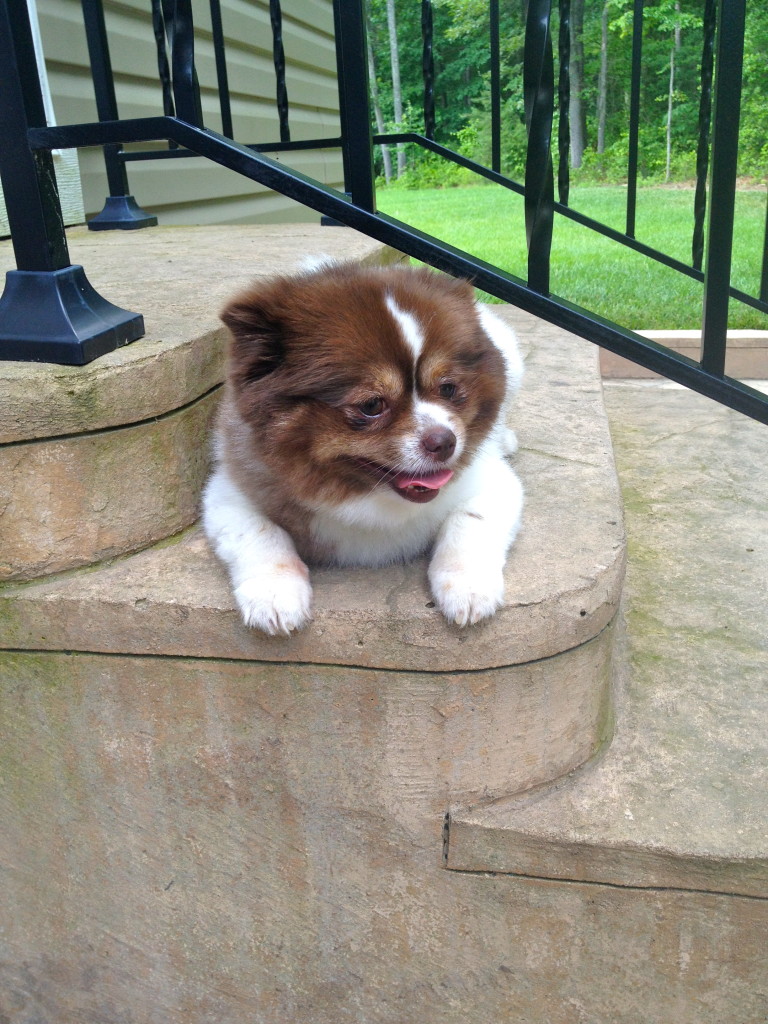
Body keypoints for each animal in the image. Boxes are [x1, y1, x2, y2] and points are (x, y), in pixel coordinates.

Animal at [201, 262, 528, 630]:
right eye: (372, 405)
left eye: (448, 388)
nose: (445, 441)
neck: (366, 495)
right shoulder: (230, 491)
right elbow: (260, 532)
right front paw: (273, 594)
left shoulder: (492, 483)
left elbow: (468, 522)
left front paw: (468, 588)